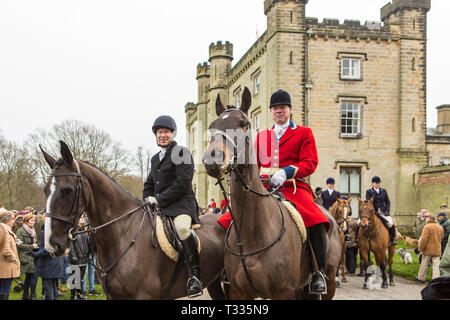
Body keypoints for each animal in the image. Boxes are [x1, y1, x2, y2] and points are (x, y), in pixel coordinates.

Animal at [40, 141, 227, 298]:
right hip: (214, 282)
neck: (122, 235)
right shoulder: (113, 296)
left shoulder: (145, 295)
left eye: (67, 190)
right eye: (45, 190)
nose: (51, 244)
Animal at [202, 86, 340, 298]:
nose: (212, 159)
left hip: (329, 283)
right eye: (212, 126)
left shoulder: (284, 292)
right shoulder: (238, 292)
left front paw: (279, 176)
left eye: (243, 124)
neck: (252, 233)